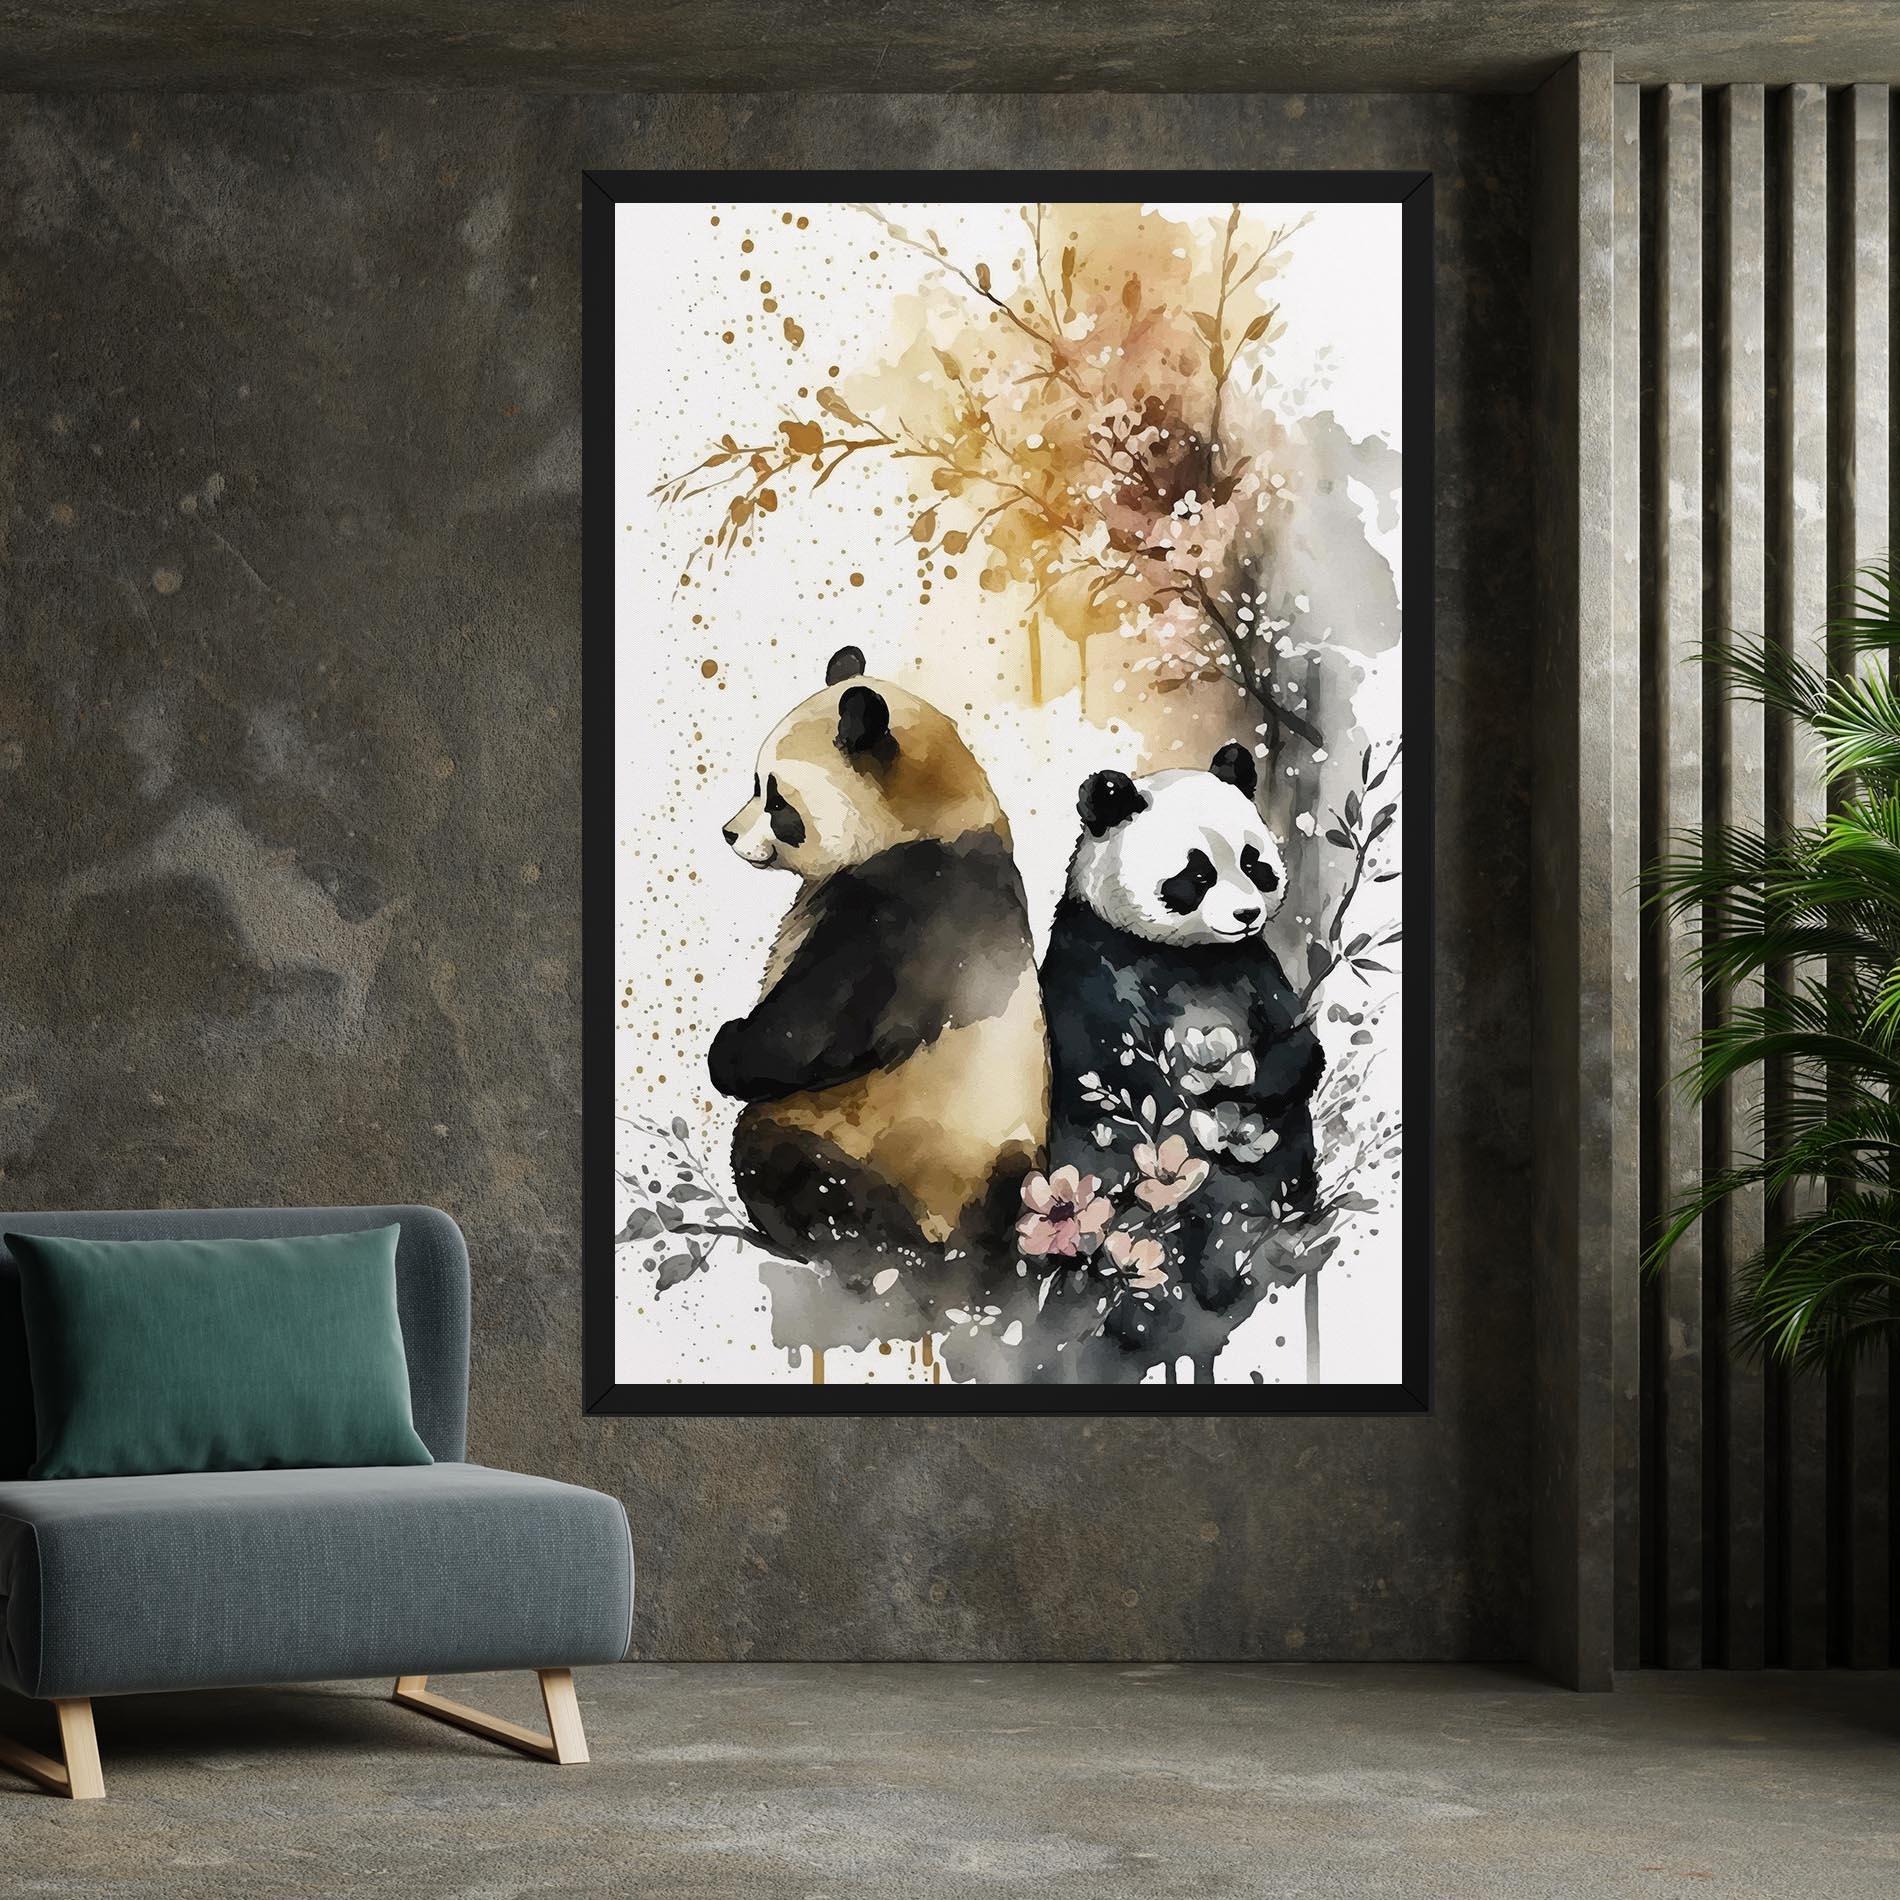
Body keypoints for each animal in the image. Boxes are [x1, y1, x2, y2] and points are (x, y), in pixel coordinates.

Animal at [709, 645, 1050, 1345]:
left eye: (776, 800)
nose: (728, 833)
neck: (936, 813)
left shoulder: (908, 908)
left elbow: (817, 1027)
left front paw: (725, 1049)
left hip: (864, 1142)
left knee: (791, 1168)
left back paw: (877, 1258)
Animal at [1035, 742, 1325, 1381]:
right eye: (1196, 874)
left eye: (1254, 862)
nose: (1246, 914)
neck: (1190, 954)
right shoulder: (1096, 962)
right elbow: (1114, 1072)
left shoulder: (1251, 965)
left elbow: (1299, 1045)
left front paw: (1244, 1091)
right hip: (1104, 1189)